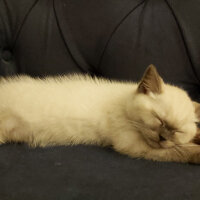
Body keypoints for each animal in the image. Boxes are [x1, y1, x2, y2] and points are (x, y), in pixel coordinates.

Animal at [0, 65, 200, 163]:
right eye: (159, 120)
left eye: (177, 131)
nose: (162, 138)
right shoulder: (133, 145)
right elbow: (181, 150)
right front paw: (195, 150)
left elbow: (186, 141)